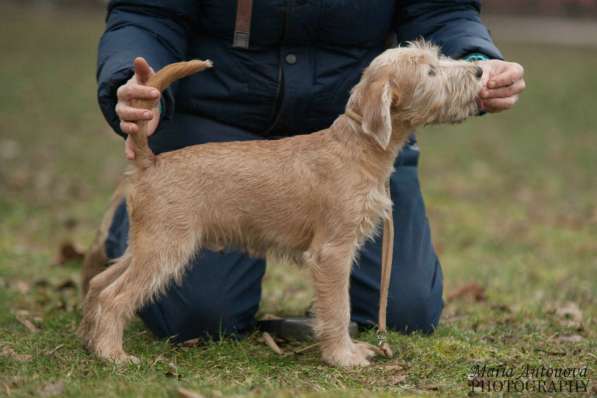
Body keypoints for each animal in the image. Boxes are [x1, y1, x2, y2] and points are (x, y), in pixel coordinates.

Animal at [77, 40, 482, 366]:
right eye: (430, 71)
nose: (479, 70)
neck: (358, 146)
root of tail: (151, 161)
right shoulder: (332, 252)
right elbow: (339, 307)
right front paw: (343, 356)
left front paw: (349, 350)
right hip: (166, 249)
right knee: (114, 296)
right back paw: (113, 354)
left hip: (145, 246)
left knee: (99, 281)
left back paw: (89, 339)